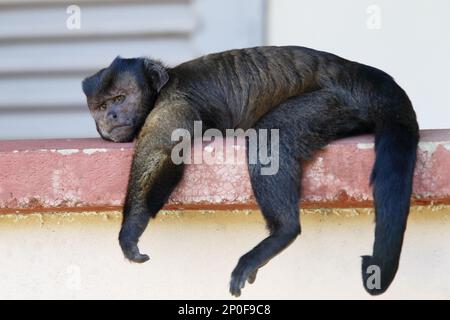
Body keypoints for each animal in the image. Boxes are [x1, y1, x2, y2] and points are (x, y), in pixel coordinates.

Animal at [83, 46, 418, 296]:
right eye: (100, 107)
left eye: (119, 99)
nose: (111, 116)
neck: (164, 85)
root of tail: (356, 71)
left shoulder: (174, 101)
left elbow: (161, 151)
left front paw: (131, 228)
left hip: (333, 102)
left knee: (270, 135)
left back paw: (283, 231)